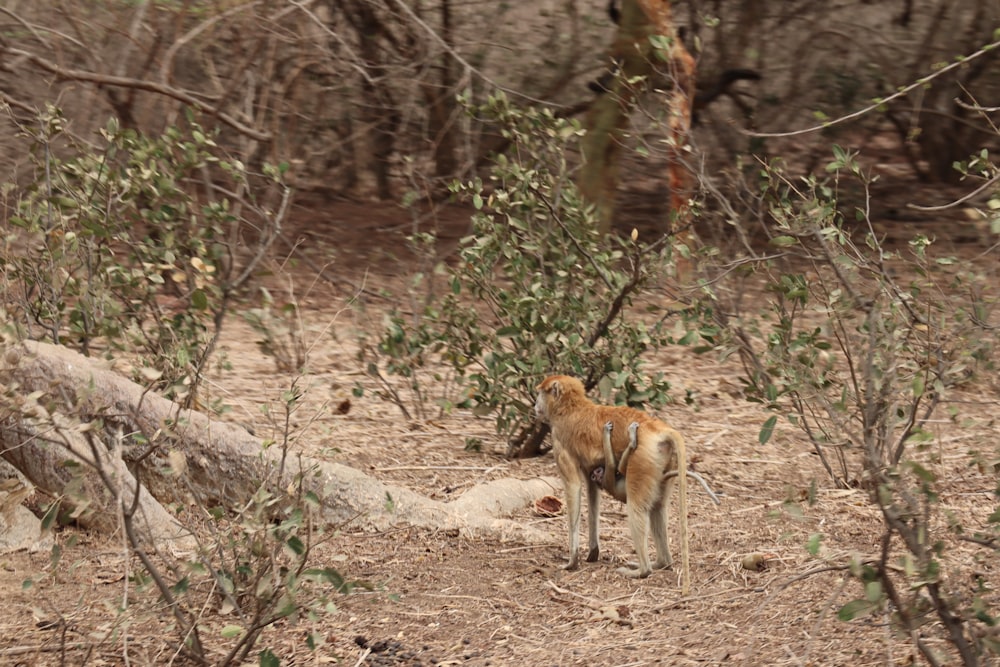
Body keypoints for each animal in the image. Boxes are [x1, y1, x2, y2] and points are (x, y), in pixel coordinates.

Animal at [536, 374, 692, 592]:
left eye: (540, 393)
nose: (535, 406)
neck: (570, 408)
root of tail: (656, 428)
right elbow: (592, 491)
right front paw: (592, 553)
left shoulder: (559, 439)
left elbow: (574, 487)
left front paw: (571, 561)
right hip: (665, 460)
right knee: (657, 508)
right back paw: (661, 563)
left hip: (642, 459)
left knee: (636, 509)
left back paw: (643, 570)